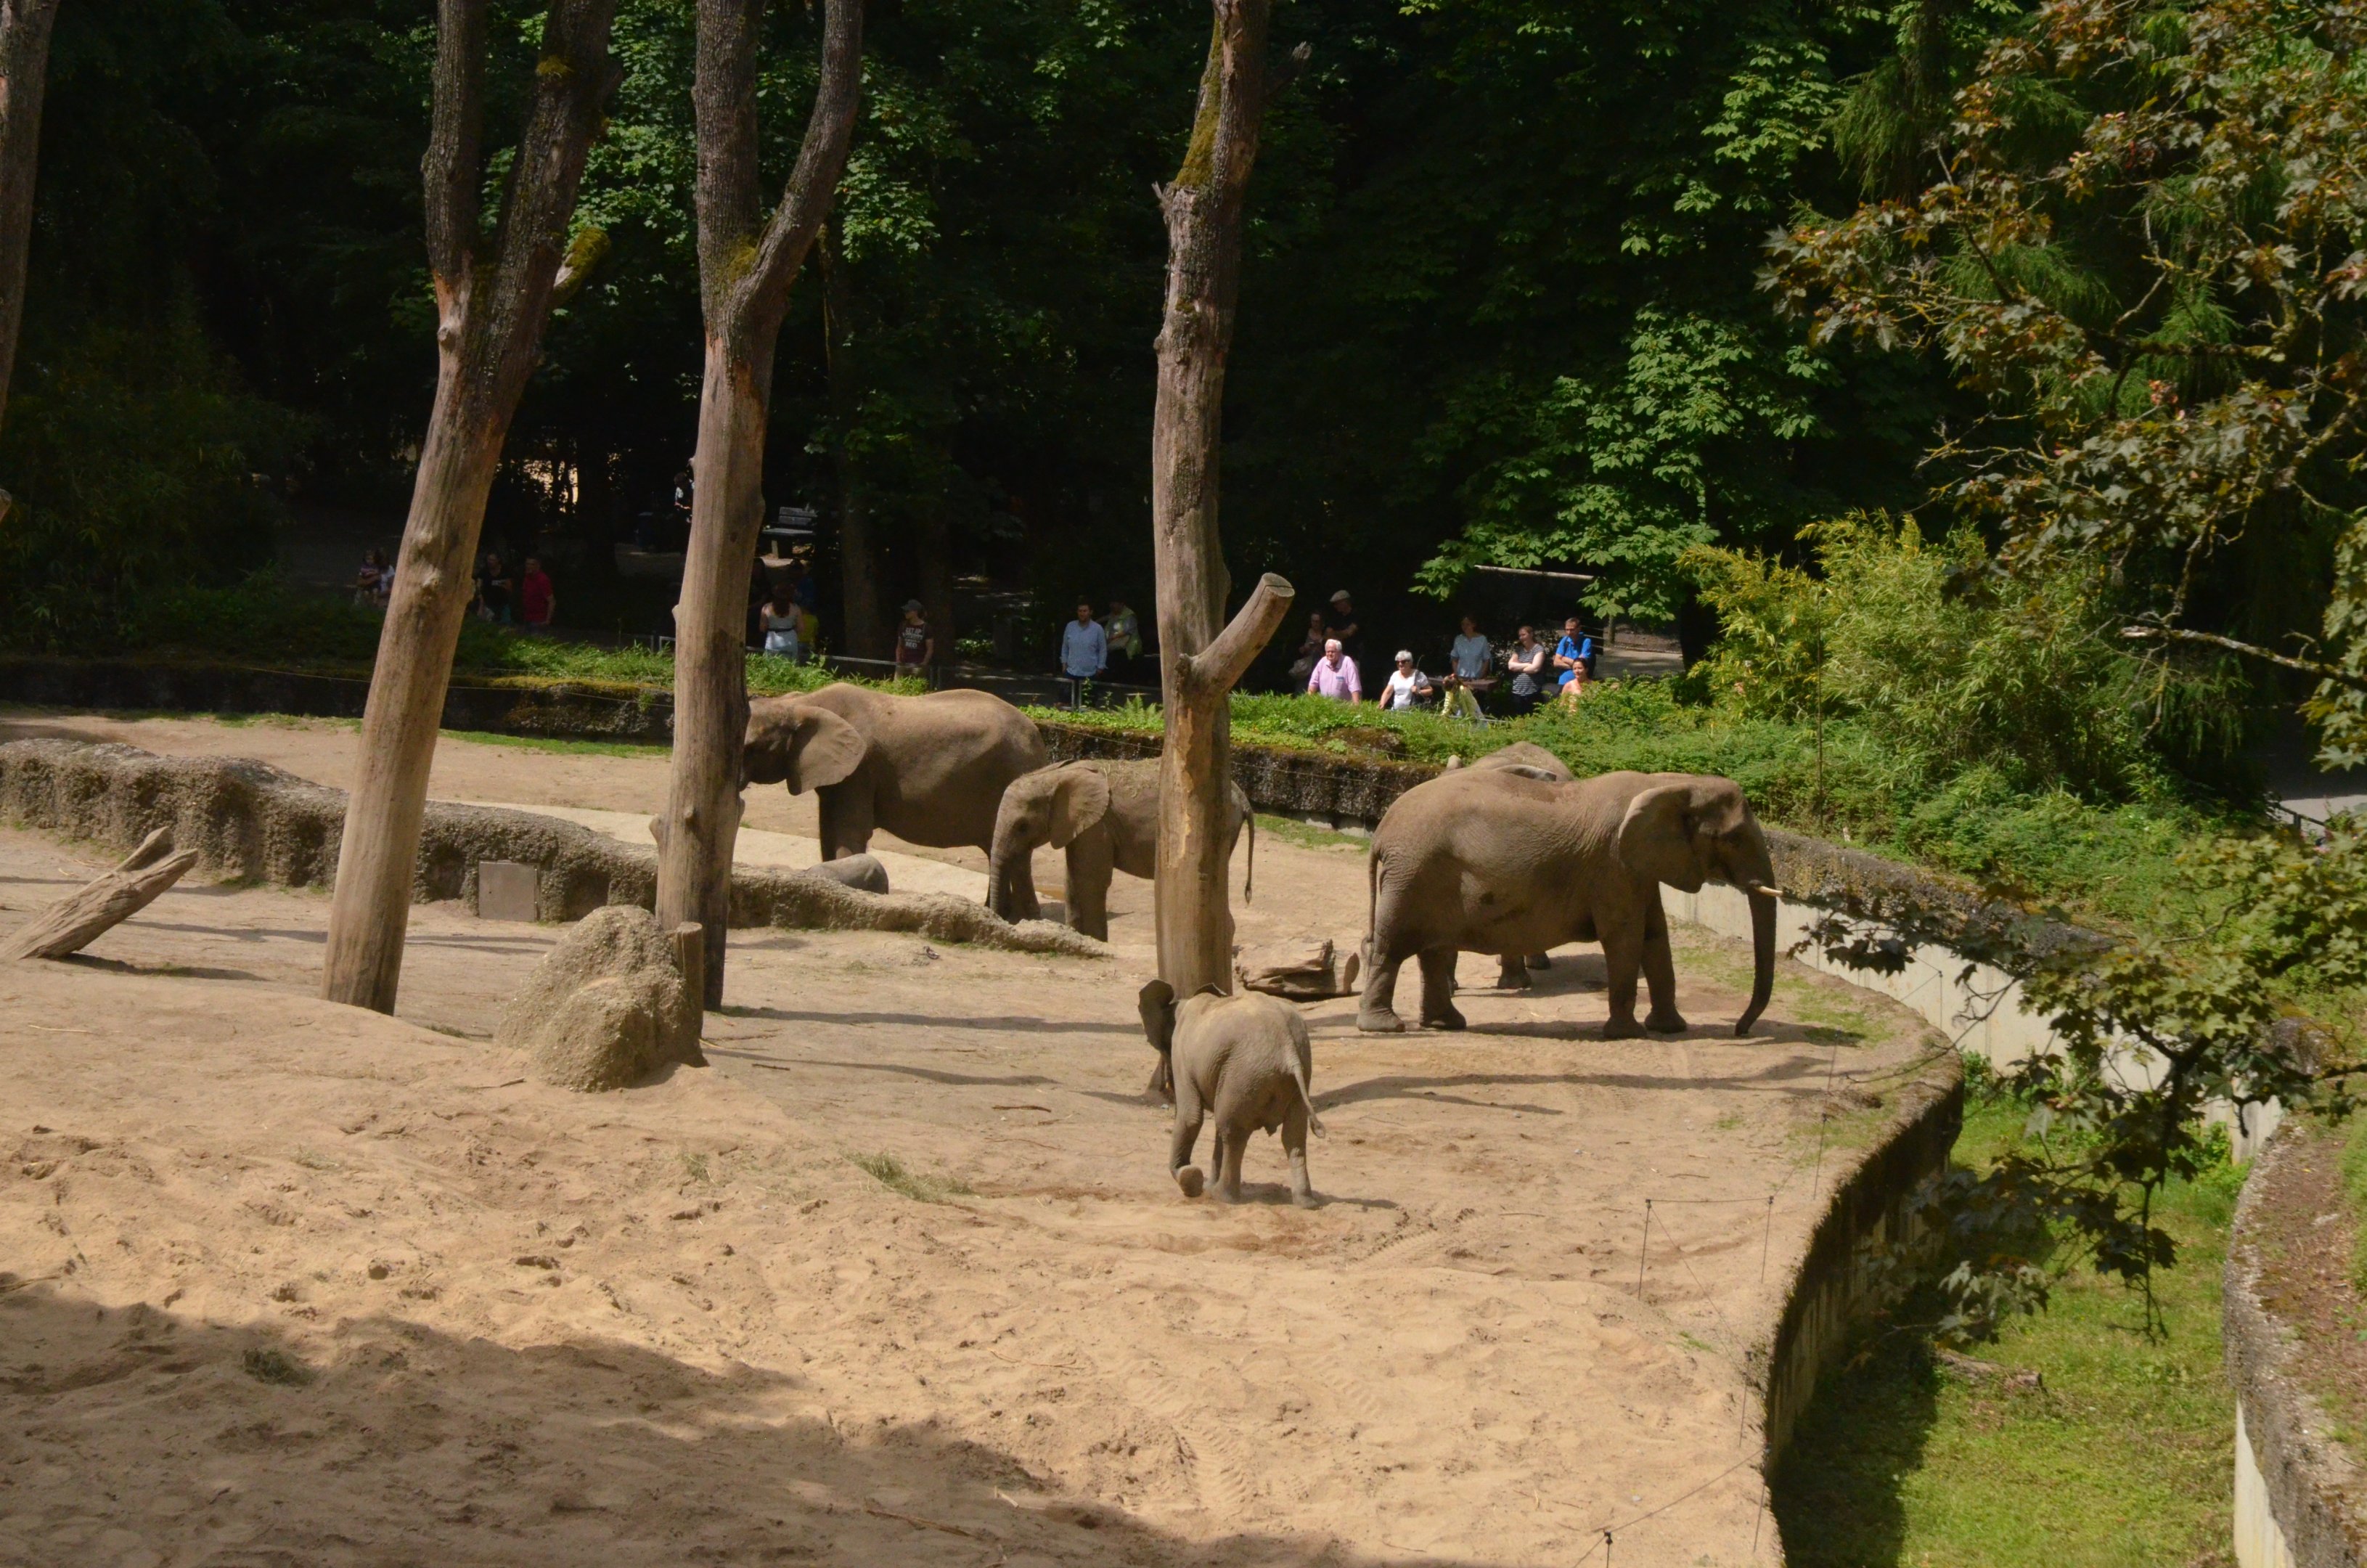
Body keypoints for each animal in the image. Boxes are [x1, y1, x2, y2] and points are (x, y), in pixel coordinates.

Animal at [742, 683, 1048, 910]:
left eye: (752, 748)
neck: (801, 703)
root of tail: (1038, 736)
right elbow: (827, 830)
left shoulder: (861, 770)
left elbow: (849, 831)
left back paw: (1019, 918)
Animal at [988, 759, 1254, 941]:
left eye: (1022, 826)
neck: (1055, 774)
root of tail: (1244, 799)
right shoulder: (1082, 826)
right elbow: (1072, 879)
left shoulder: (1099, 825)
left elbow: (1091, 880)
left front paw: (1096, 942)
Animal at [1137, 979, 1322, 1206]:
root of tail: (1288, 1047)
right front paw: (1201, 1182)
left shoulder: (1182, 1057)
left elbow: (1190, 1117)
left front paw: (1191, 1179)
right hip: (1297, 1074)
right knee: (1293, 1135)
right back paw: (1306, 1203)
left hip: (1244, 1074)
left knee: (1233, 1130)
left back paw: (1222, 1196)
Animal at [1358, 768, 1779, 1039]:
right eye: (1735, 838)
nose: (1740, 1031)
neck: (1670, 783)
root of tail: (1383, 829)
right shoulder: (1613, 865)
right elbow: (1625, 937)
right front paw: (1626, 1035)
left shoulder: (1637, 868)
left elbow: (1655, 936)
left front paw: (1671, 1029)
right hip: (1413, 873)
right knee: (1392, 948)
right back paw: (1385, 1027)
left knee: (1431, 950)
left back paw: (1447, 1024)